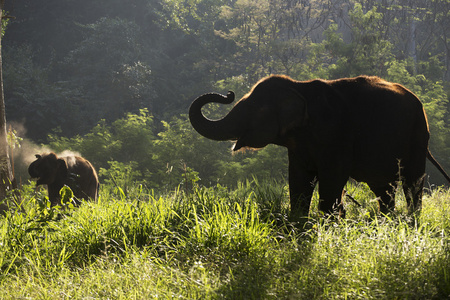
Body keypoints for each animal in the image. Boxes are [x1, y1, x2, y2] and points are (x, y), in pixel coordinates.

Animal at [189, 74, 450, 216]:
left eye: (253, 109)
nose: (228, 93)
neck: (299, 86)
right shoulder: (299, 146)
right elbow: (298, 179)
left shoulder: (336, 134)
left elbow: (332, 177)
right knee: (383, 189)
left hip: (418, 137)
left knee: (412, 183)